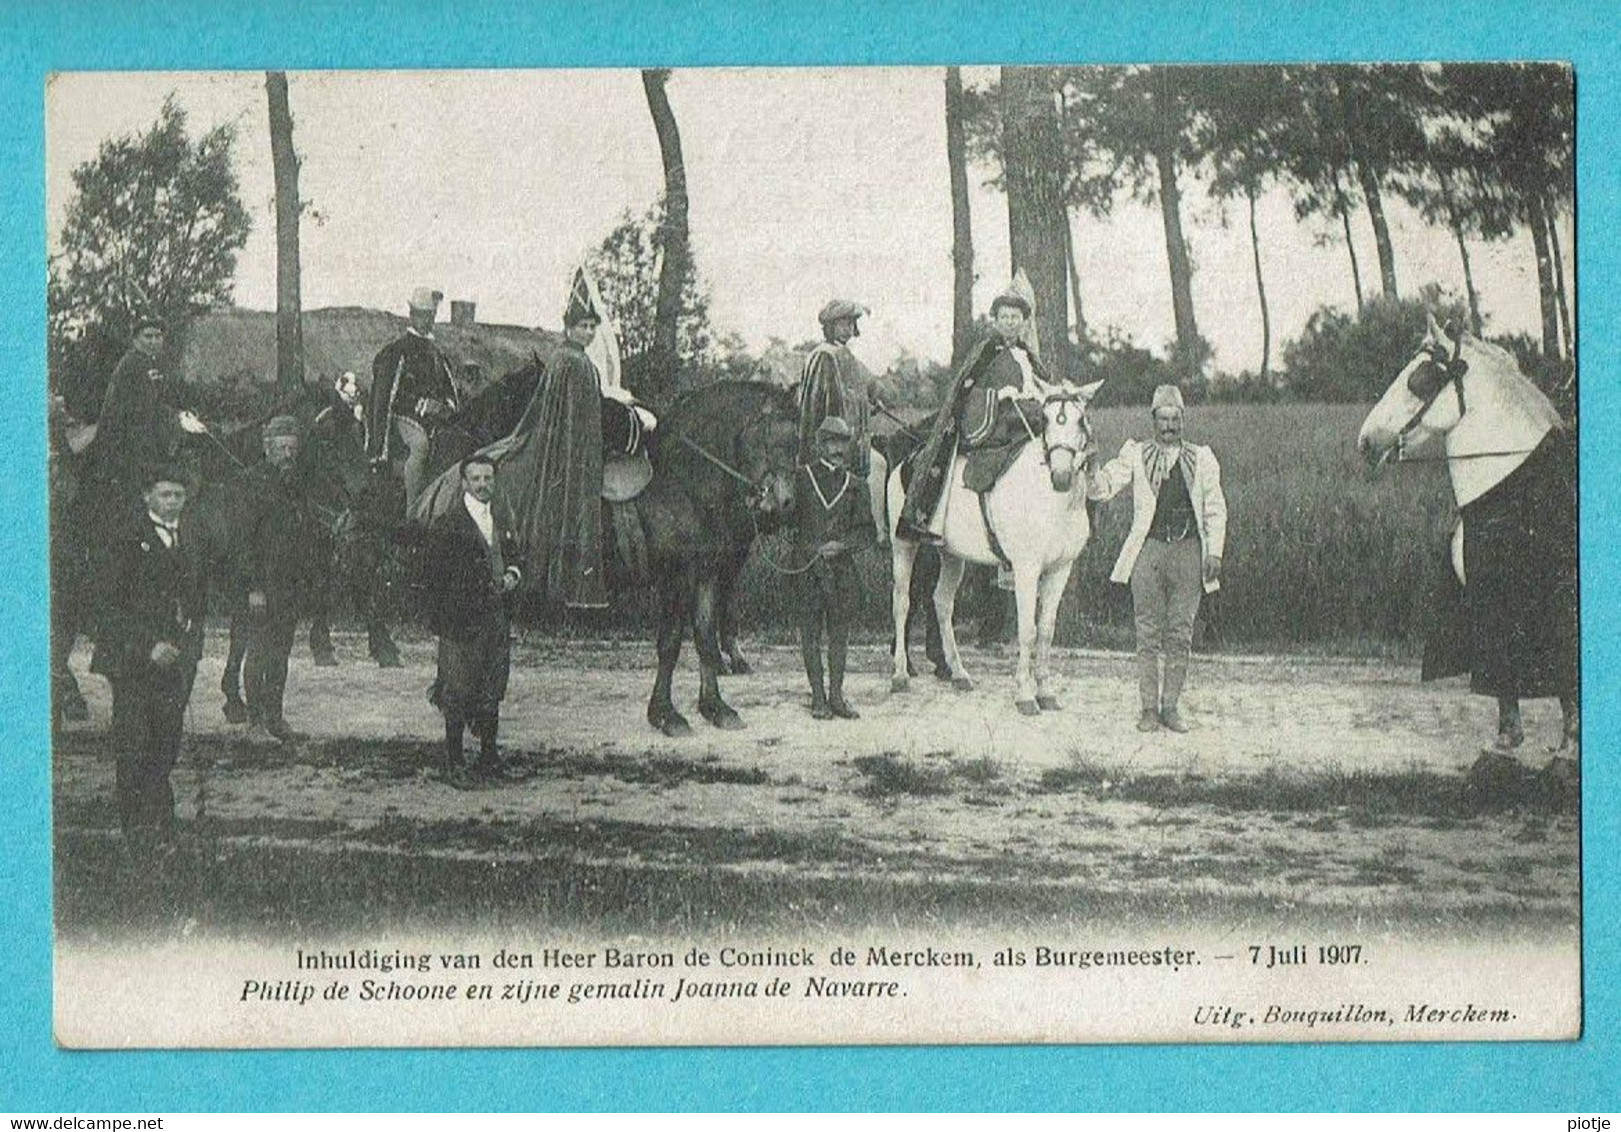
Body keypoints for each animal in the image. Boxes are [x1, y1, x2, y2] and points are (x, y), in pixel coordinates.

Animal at [888, 381, 1102, 713]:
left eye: (1081, 420)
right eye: (1046, 420)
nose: (1061, 476)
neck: (1051, 500)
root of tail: (906, 461)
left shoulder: (1060, 570)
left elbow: (1046, 631)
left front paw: (1046, 692)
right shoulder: (1027, 570)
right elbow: (1027, 631)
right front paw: (1025, 695)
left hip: (950, 555)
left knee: (942, 602)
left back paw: (959, 674)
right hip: (904, 545)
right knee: (902, 602)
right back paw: (900, 675)